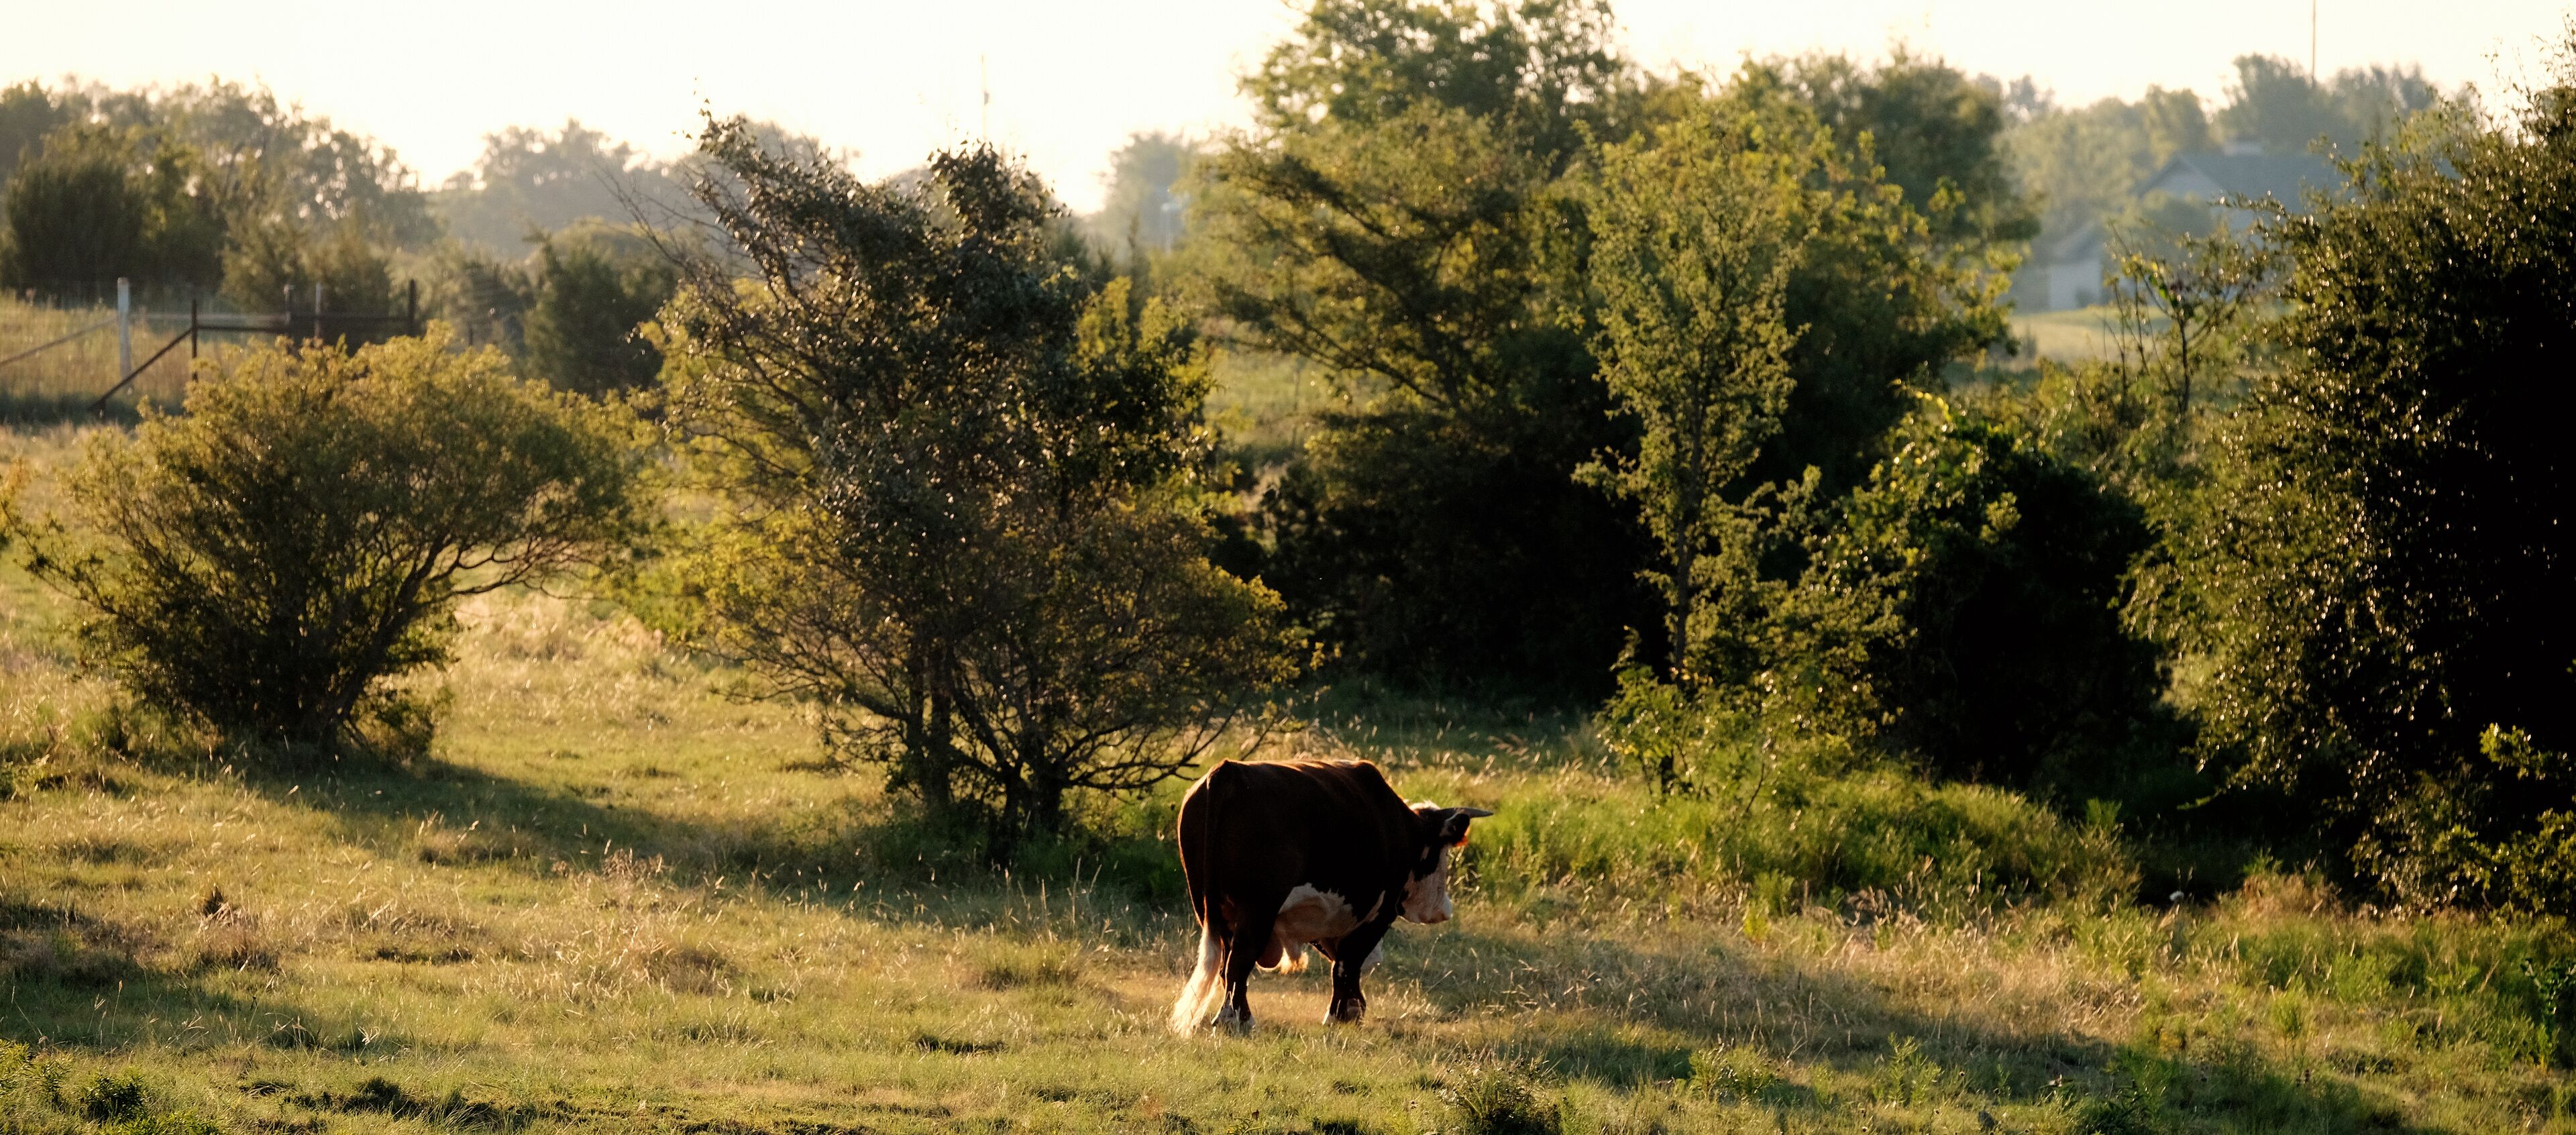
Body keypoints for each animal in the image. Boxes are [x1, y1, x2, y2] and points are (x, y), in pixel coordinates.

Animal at [1168, 758, 1492, 1032]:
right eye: (1441, 853)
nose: (1444, 909)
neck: (1403, 830)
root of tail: (1228, 772)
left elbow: (1346, 964)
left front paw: (1351, 1010)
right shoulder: (1379, 912)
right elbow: (1347, 964)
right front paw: (1340, 1016)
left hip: (1212, 909)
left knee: (1227, 965)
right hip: (1258, 908)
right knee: (1238, 962)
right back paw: (1236, 1021)